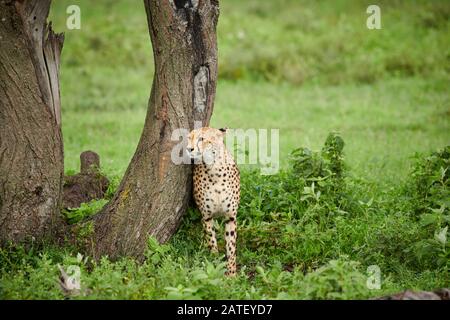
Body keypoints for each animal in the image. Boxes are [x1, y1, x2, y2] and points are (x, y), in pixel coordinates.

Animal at [185, 126, 241, 276]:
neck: (215, 169)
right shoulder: (207, 216)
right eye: (189, 138)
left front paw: (231, 274)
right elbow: (212, 241)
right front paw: (215, 264)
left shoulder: (230, 217)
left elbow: (231, 248)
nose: (189, 149)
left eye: (202, 139)